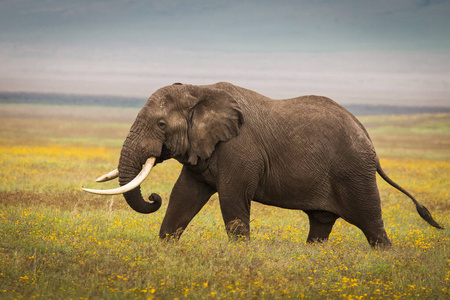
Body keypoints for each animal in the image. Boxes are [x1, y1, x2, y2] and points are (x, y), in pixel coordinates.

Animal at [81, 81, 442, 247]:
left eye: (160, 124)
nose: (152, 196)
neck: (200, 90)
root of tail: (368, 138)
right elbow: (184, 196)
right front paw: (165, 248)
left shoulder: (240, 150)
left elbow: (231, 199)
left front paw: (240, 255)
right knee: (321, 224)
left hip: (354, 172)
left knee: (371, 223)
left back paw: (386, 256)